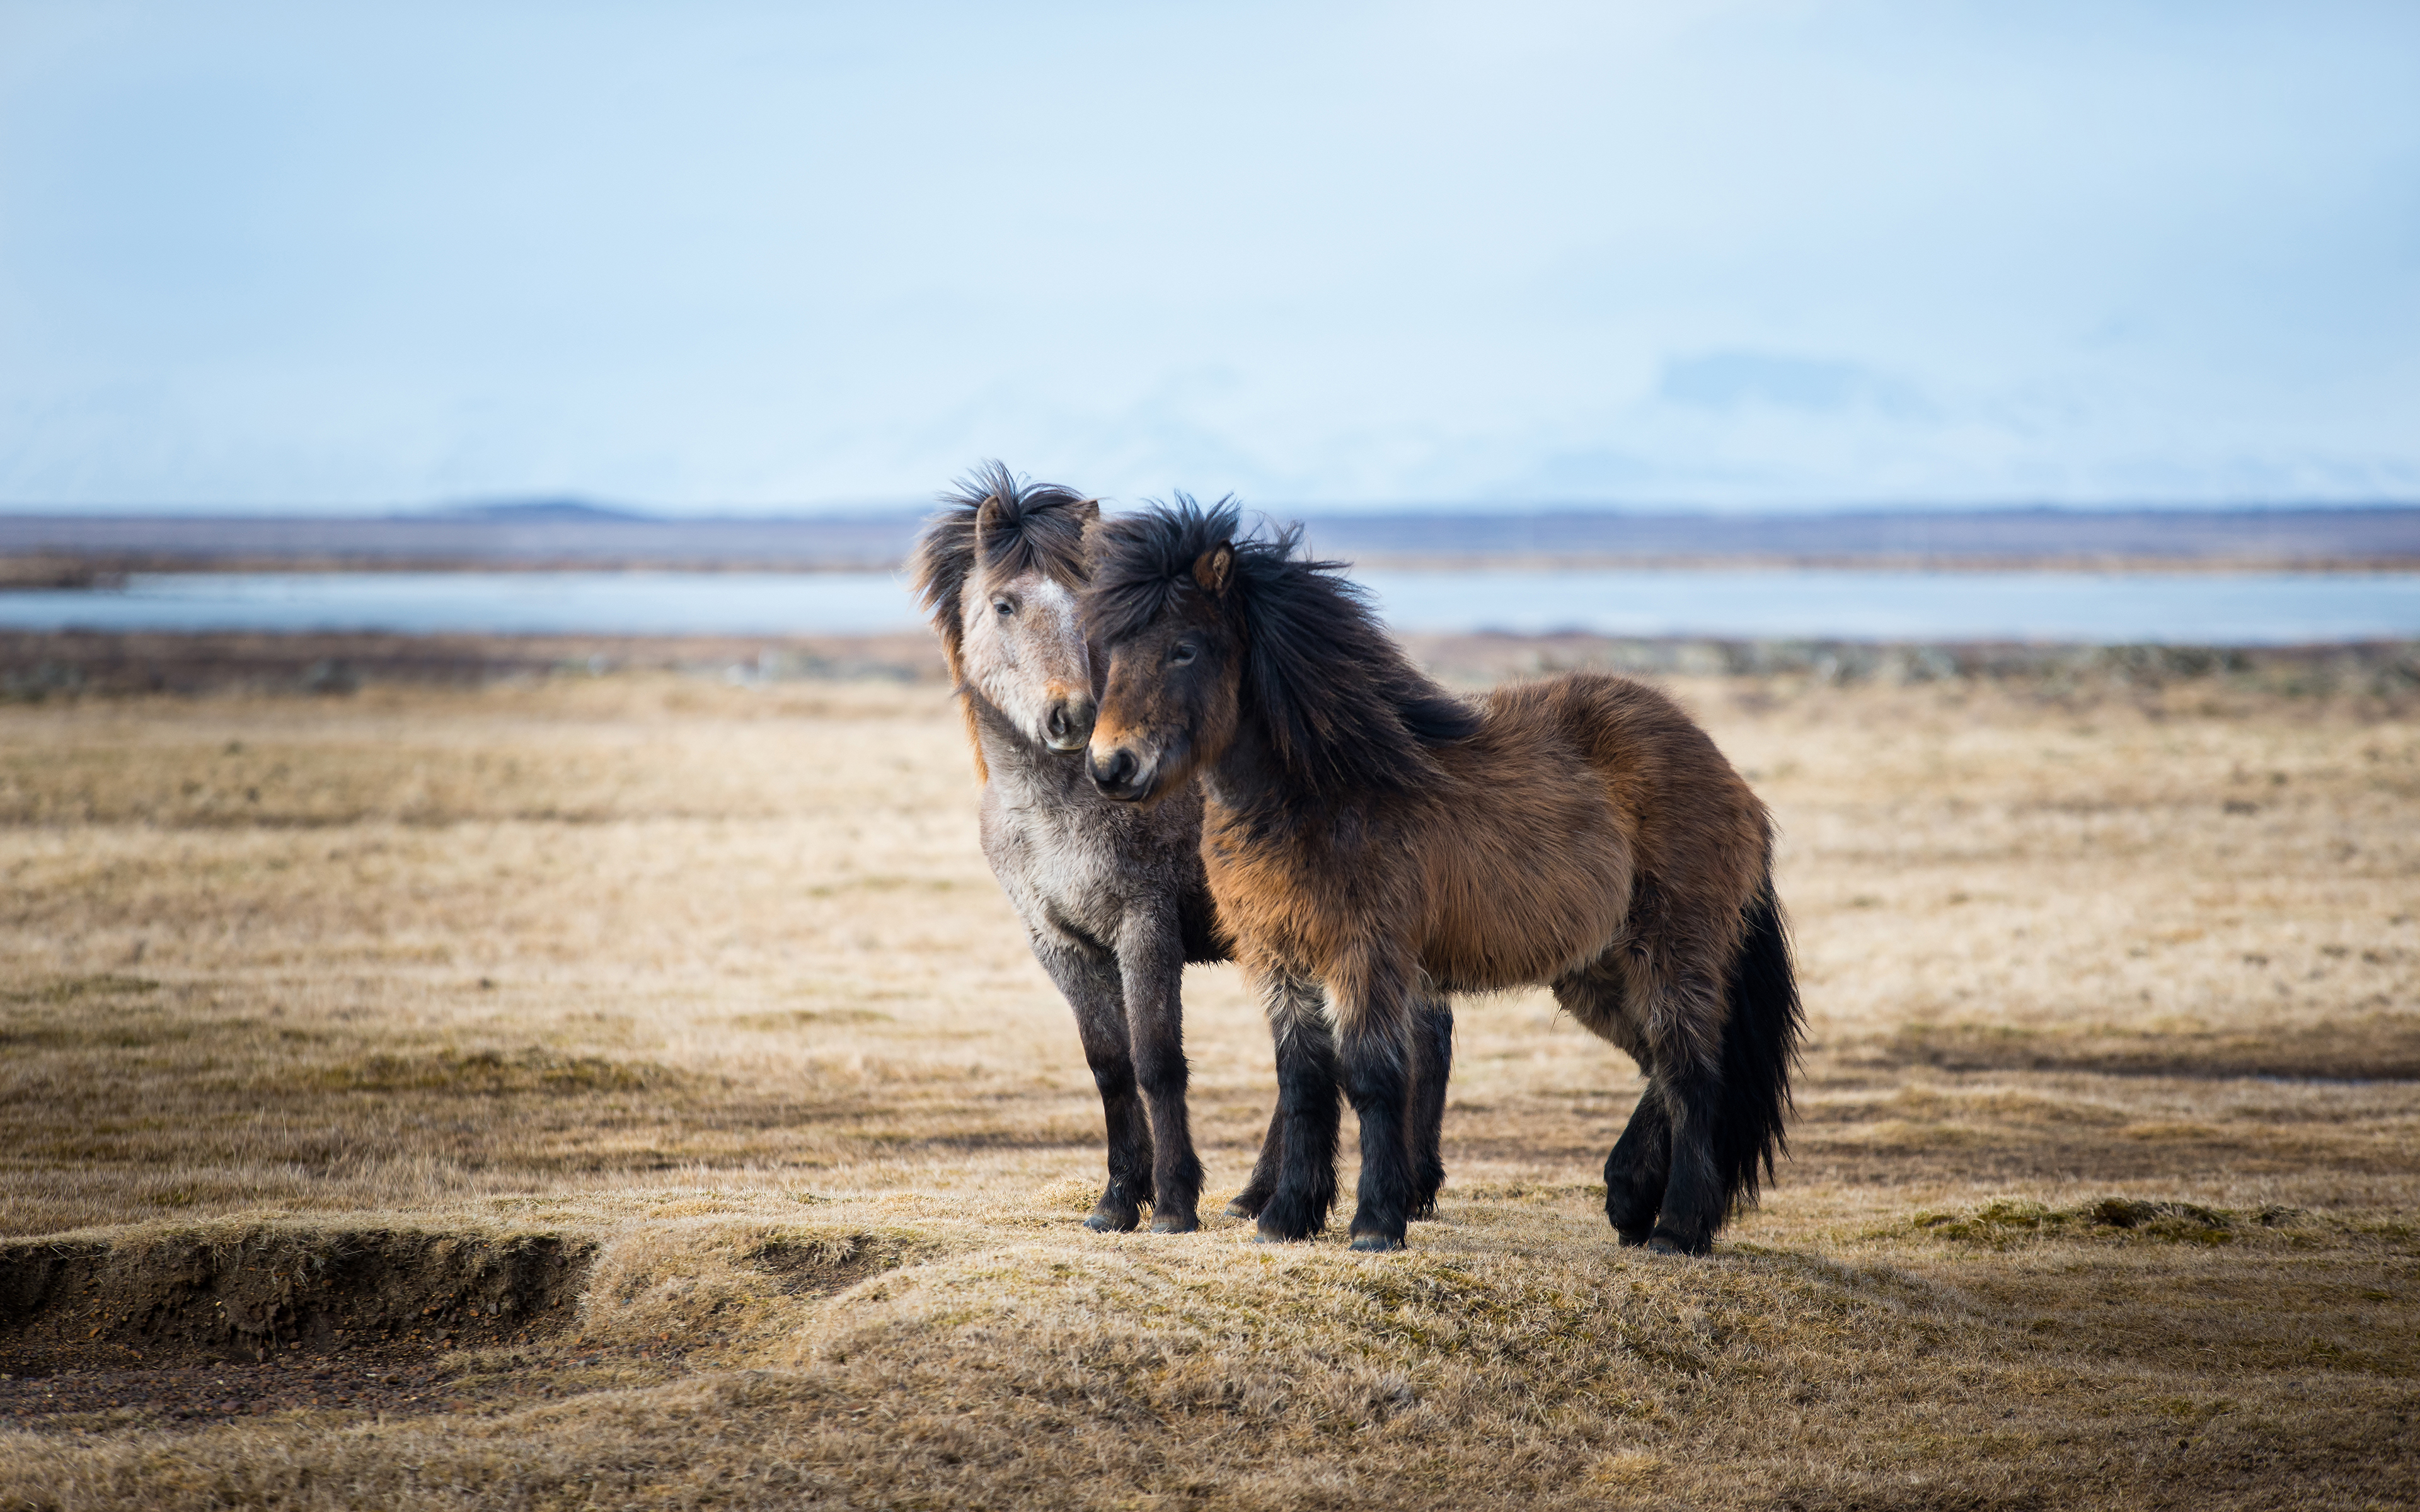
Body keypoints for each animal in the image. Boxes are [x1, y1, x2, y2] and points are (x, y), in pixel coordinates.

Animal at [911, 465, 1456, 1233]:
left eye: (1090, 608)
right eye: (1004, 604)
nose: (1073, 715)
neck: (1055, 807)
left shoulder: (1145, 926)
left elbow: (1157, 1061)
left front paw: (1171, 1202)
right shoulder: (1058, 943)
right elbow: (1109, 1064)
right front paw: (1116, 1201)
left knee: (1417, 1035)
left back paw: (1403, 1189)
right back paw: (1261, 1196)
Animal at [1080, 496, 1803, 1255]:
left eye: (1185, 648)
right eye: (1112, 650)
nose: (1111, 767)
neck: (1325, 790)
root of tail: (1729, 776)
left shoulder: (1366, 955)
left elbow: (1371, 1078)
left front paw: (1375, 1224)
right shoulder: (1280, 959)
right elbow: (1302, 1081)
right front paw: (1287, 1219)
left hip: (1672, 952)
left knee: (1694, 1074)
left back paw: (1676, 1227)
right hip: (1595, 969)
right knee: (1660, 1065)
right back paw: (1630, 1197)